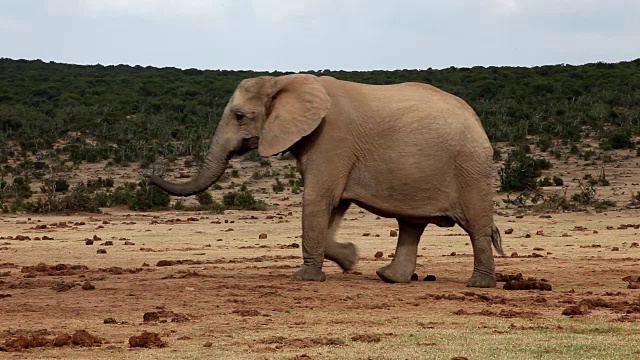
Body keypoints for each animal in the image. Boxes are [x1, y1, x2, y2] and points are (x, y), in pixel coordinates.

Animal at [150, 73, 504, 286]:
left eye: (239, 116)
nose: (151, 177)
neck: (283, 81)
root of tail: (478, 120)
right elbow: (334, 206)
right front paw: (350, 258)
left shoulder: (331, 138)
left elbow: (318, 199)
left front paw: (305, 278)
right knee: (411, 224)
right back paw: (388, 277)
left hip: (470, 167)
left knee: (476, 227)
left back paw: (479, 284)